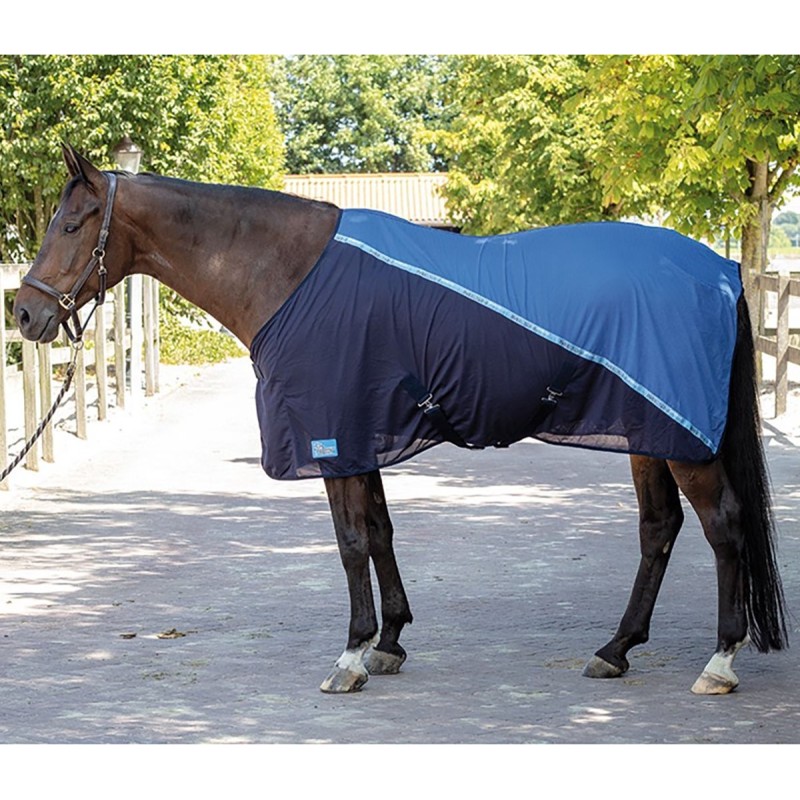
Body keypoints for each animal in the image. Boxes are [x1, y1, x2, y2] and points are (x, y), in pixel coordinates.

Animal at [13, 145, 787, 695]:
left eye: (73, 223)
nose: (25, 312)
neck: (288, 273)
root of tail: (719, 270)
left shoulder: (330, 436)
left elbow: (351, 541)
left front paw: (352, 654)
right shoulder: (363, 437)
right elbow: (381, 533)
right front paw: (388, 643)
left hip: (683, 438)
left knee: (723, 526)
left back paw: (719, 663)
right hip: (646, 432)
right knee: (660, 530)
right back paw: (615, 650)